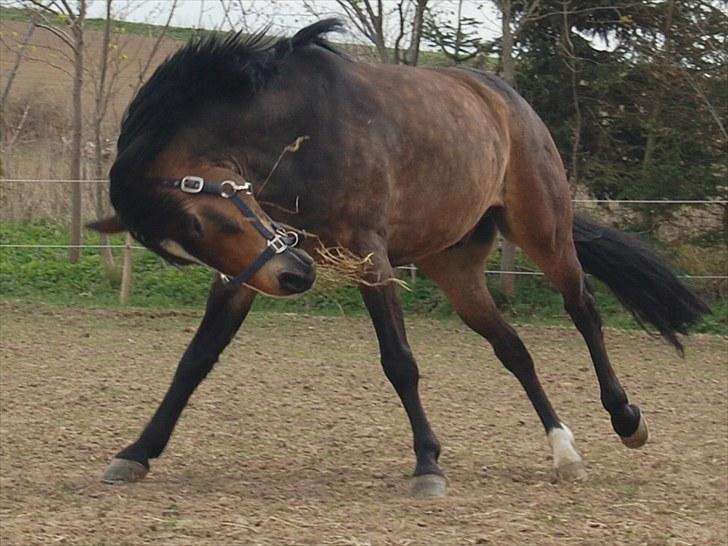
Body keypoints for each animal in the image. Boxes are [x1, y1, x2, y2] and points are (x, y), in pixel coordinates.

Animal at [89, 19, 709, 497]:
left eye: (198, 221)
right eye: (182, 245)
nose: (295, 277)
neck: (298, 128)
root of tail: (505, 100)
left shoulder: (368, 256)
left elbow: (399, 362)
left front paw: (428, 464)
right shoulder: (251, 264)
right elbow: (194, 360)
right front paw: (137, 452)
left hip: (544, 232)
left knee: (584, 310)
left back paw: (625, 419)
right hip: (455, 268)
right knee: (513, 348)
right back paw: (564, 451)